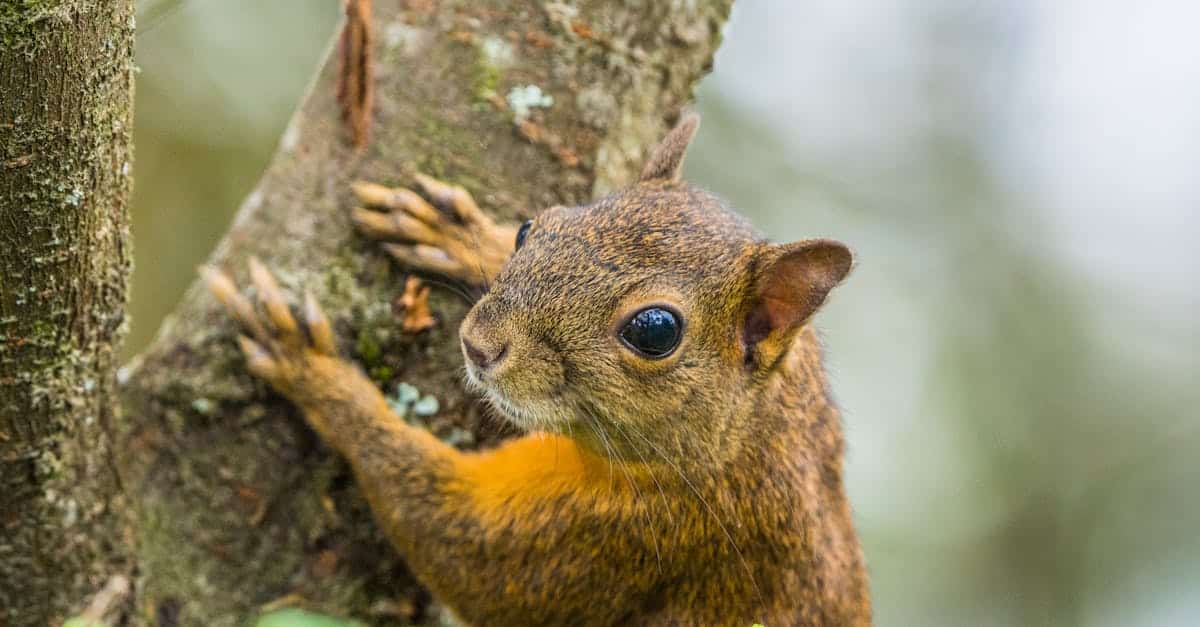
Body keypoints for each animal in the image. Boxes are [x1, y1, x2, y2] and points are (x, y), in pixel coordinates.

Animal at [199, 113, 873, 624]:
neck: (750, 433)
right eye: (531, 228)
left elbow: (459, 547)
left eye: (655, 331)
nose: (478, 345)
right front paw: (457, 229)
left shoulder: (632, 536)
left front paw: (312, 368)